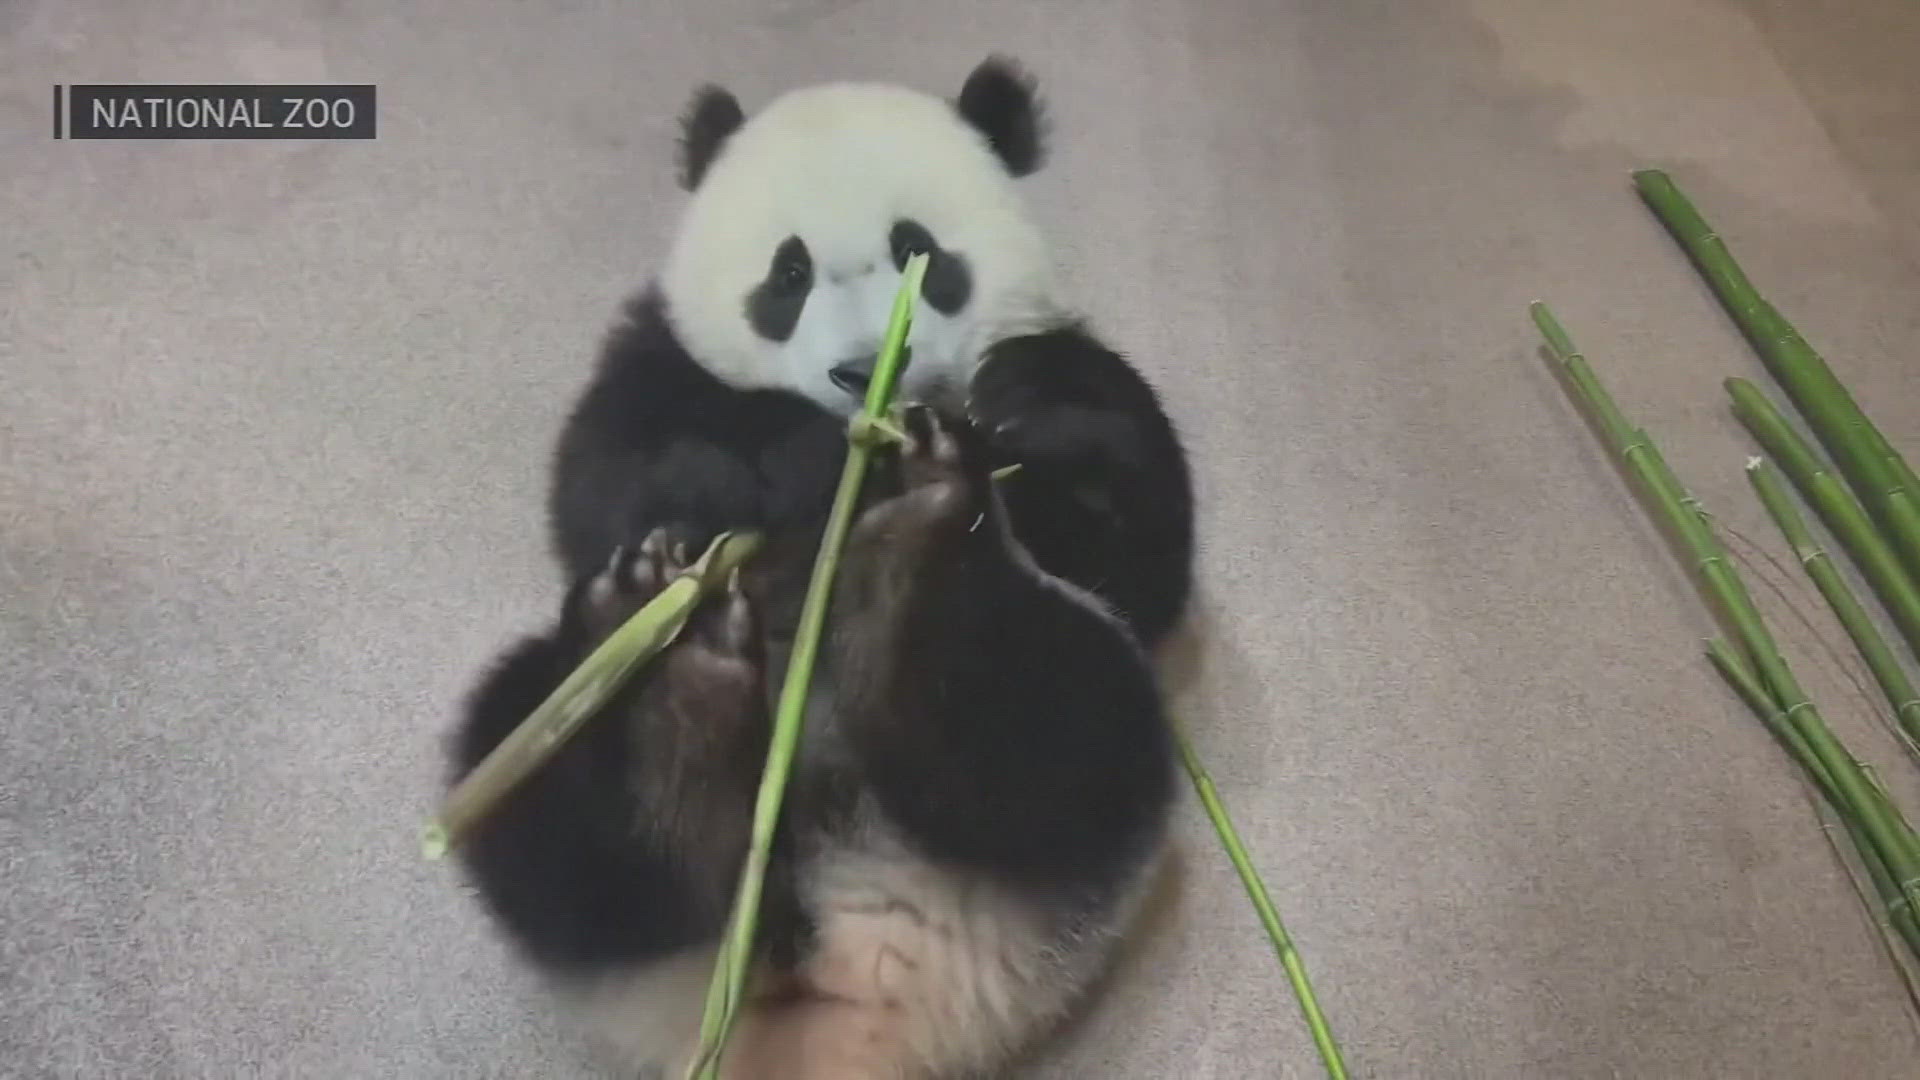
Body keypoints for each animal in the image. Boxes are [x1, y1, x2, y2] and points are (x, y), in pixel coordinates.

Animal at [451, 58, 1198, 1076]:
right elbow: (607, 477)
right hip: (560, 769)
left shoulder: (1060, 374)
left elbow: (1138, 545)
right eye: (789, 273)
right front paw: (773, 471)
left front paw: (1021, 403)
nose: (861, 371)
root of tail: (841, 982)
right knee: (540, 791)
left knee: (1060, 727)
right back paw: (673, 713)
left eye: (919, 249)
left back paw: (915, 555)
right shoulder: (661, 366)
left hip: (1060, 816)